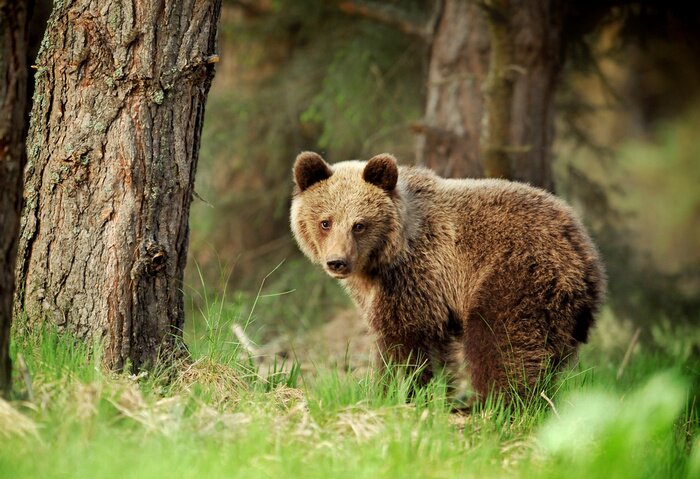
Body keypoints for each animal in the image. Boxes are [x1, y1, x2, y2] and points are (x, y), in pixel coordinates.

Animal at [290, 151, 605, 402]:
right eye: (325, 222)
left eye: (359, 225)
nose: (337, 262)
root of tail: (582, 248)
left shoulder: (417, 276)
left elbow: (407, 341)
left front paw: (396, 392)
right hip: (564, 313)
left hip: (516, 275)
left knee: (501, 342)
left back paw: (501, 406)